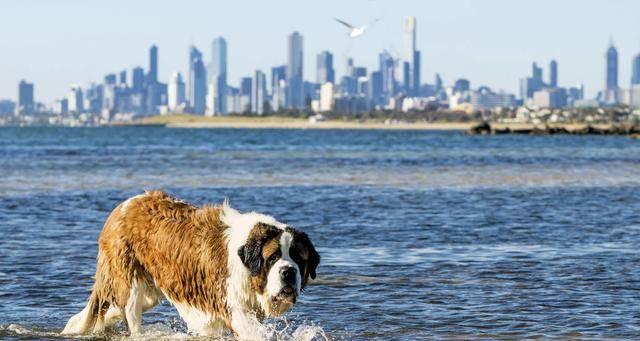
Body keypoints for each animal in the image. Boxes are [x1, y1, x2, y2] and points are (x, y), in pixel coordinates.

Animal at [61, 190, 318, 338]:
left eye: (298, 258)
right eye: (272, 257)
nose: (288, 272)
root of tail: (123, 206)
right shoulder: (234, 308)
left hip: (148, 290)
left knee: (114, 307)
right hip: (129, 280)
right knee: (130, 315)